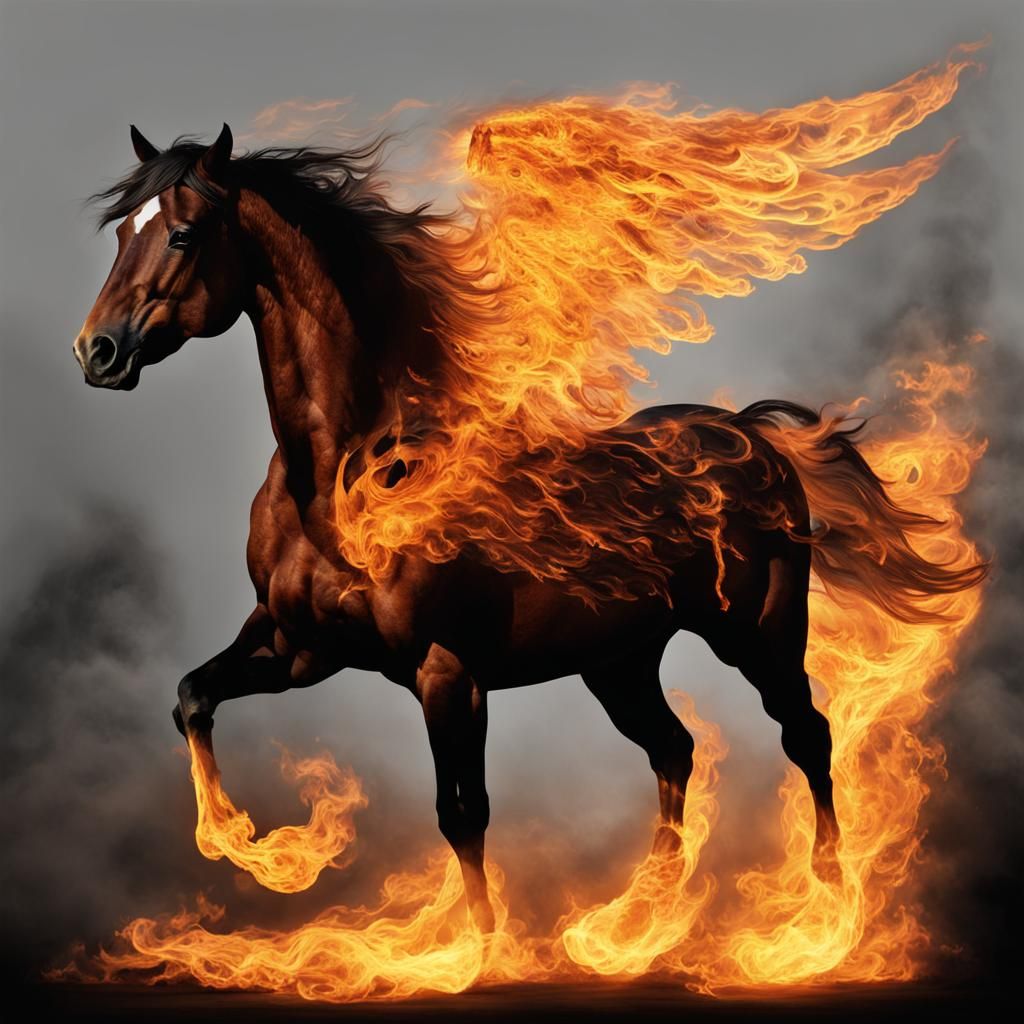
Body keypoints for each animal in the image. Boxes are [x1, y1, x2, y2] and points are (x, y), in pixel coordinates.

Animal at [73, 124, 985, 930]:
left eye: (182, 233)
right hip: (617, 662)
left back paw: (826, 898)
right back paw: (640, 918)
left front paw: (485, 950)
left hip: (757, 633)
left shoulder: (445, 670)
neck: (344, 479)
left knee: (805, 734)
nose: (98, 352)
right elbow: (192, 697)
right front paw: (242, 843)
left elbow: (463, 816)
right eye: (120, 231)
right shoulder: (298, 646)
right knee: (675, 750)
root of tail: (749, 433)